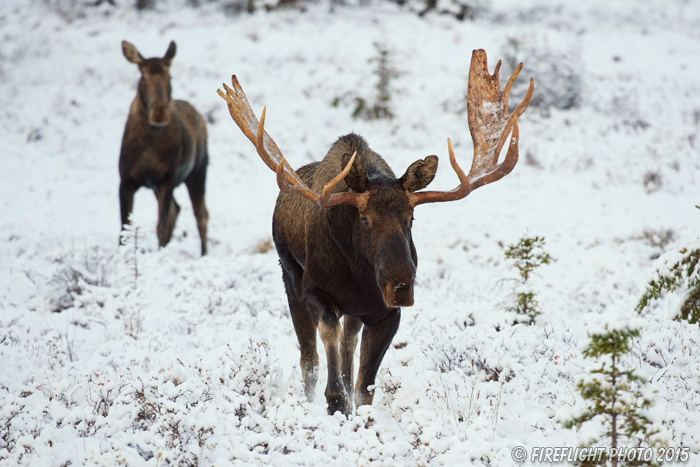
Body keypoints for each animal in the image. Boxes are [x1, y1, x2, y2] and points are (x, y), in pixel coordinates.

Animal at [117, 40, 209, 256]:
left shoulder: (166, 180)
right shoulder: (125, 180)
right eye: (143, 76)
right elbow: (123, 229)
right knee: (178, 208)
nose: (159, 113)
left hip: (197, 171)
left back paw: (204, 254)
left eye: (170, 76)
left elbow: (161, 226)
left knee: (201, 214)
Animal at [216, 50, 532, 416]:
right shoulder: (314, 291)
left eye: (411, 217)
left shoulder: (385, 312)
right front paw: (334, 403)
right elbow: (329, 350)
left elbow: (364, 386)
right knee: (309, 357)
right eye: (365, 219)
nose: (400, 284)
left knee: (348, 341)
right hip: (289, 276)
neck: (359, 276)